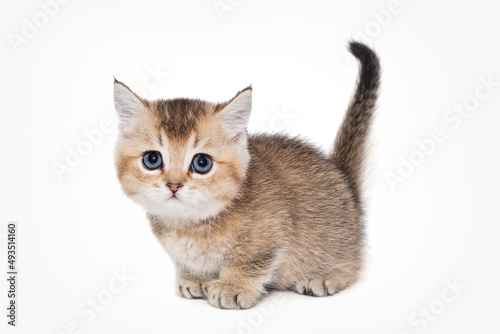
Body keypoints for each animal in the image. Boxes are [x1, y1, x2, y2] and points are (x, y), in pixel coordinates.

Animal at [113, 42, 378, 310]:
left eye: (201, 163)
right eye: (152, 160)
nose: (174, 185)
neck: (190, 225)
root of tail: (343, 176)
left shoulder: (272, 233)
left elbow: (248, 262)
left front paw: (233, 287)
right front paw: (195, 278)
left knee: (354, 263)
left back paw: (326, 276)